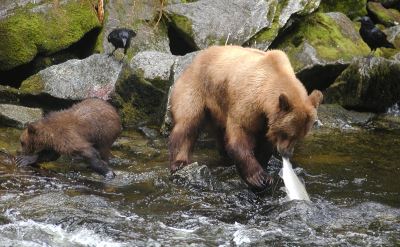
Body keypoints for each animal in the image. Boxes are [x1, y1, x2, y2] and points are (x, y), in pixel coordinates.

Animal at [168, 45, 322, 189]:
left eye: (299, 137)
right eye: (287, 134)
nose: (287, 153)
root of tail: (195, 59)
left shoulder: (265, 119)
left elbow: (264, 143)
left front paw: (265, 170)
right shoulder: (247, 102)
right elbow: (240, 135)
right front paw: (259, 177)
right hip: (196, 89)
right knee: (187, 123)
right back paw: (179, 162)